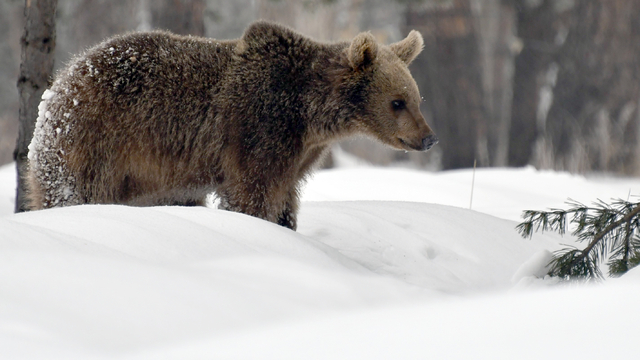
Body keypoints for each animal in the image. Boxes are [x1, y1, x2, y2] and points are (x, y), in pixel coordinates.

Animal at [25, 21, 436, 231]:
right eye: (396, 102)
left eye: (417, 99)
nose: (428, 138)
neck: (310, 114)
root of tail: (60, 82)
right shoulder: (258, 129)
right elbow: (252, 193)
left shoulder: (299, 155)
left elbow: (285, 199)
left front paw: (286, 225)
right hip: (94, 141)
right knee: (72, 192)